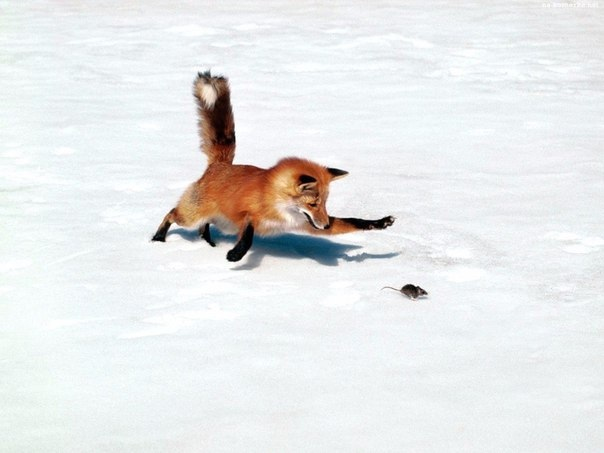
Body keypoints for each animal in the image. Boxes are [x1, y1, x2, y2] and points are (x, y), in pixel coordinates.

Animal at [153, 70, 394, 262]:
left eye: (325, 203)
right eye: (313, 203)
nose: (325, 225)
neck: (279, 205)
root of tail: (220, 164)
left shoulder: (305, 223)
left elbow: (354, 221)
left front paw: (379, 223)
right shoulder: (248, 215)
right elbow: (249, 235)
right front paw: (236, 254)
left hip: (218, 222)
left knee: (203, 227)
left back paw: (208, 243)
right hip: (191, 216)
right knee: (171, 214)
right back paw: (158, 238)